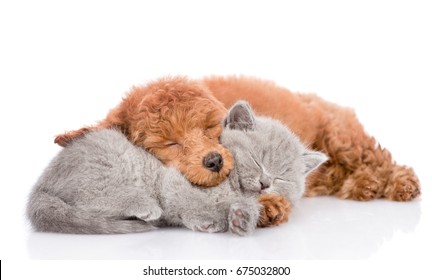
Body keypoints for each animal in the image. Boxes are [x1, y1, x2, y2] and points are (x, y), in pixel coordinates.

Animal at [27, 101, 324, 235]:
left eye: (283, 177)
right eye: (256, 159)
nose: (265, 182)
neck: (231, 187)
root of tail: (41, 186)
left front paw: (242, 218)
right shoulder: (172, 179)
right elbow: (189, 201)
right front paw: (209, 219)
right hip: (109, 162)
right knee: (90, 198)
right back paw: (144, 206)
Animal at [204, 76, 420, 202]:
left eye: (281, 175)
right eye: (256, 161)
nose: (265, 184)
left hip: (343, 142)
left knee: (381, 160)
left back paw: (403, 185)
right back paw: (365, 185)